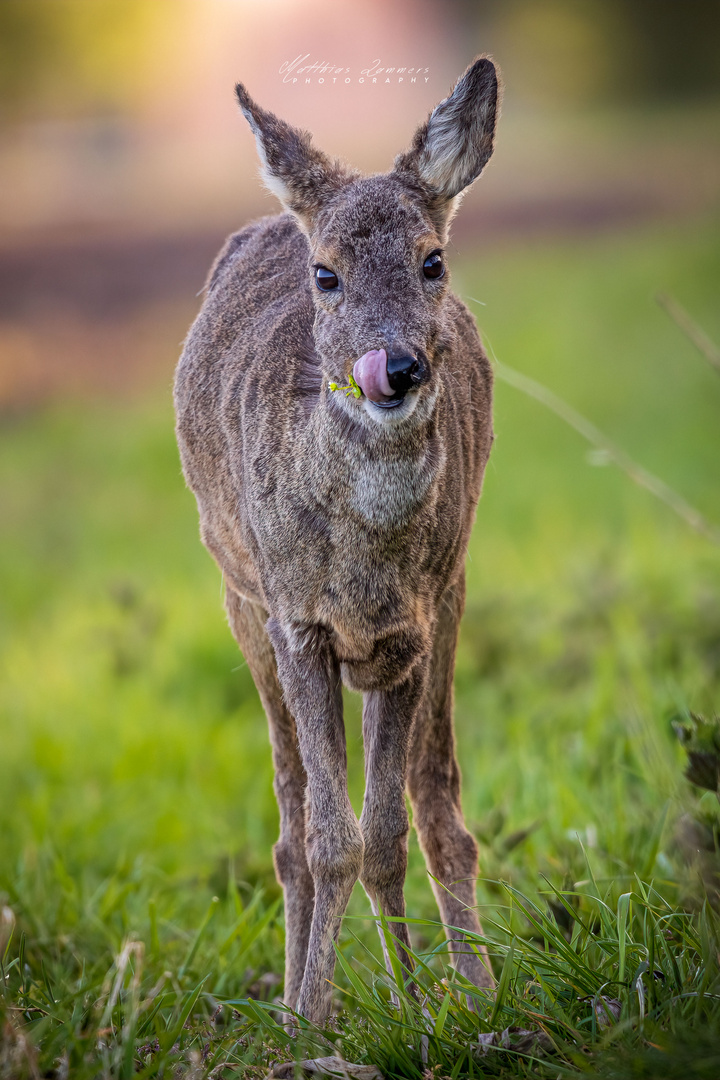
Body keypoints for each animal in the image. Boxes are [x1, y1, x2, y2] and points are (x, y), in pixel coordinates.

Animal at [174, 56, 500, 1019]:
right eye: (325, 275)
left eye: (433, 260)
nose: (395, 367)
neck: (362, 565)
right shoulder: (298, 621)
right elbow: (328, 841)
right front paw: (311, 1017)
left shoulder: (409, 632)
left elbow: (384, 832)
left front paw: (419, 1007)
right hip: (238, 597)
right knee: (290, 825)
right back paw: (289, 993)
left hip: (454, 594)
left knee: (438, 805)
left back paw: (479, 988)